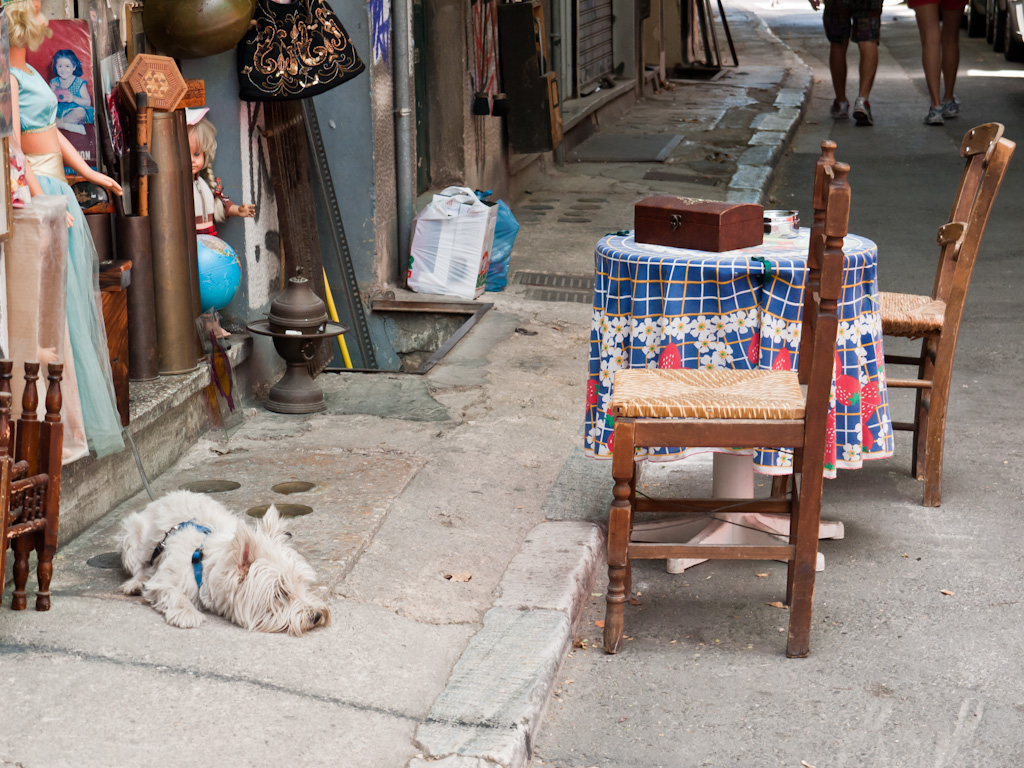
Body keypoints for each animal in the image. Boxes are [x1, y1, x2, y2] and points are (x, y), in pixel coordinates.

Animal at [118, 493, 329, 638]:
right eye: (280, 593)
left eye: (302, 583)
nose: (317, 615)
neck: (201, 563)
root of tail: (161, 498)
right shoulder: (164, 580)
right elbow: (172, 593)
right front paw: (187, 613)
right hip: (132, 535)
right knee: (139, 566)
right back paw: (134, 583)